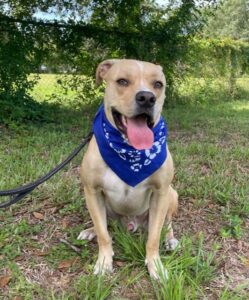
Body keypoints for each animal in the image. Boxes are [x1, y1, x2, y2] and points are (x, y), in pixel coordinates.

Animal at [77, 58, 178, 278]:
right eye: (122, 81)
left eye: (158, 84)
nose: (147, 98)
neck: (129, 152)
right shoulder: (92, 191)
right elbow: (103, 234)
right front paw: (104, 261)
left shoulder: (161, 192)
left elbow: (153, 238)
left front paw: (155, 265)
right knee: (103, 224)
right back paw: (90, 230)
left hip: (172, 195)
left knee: (167, 224)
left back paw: (170, 239)